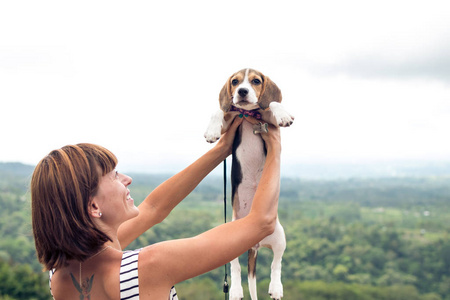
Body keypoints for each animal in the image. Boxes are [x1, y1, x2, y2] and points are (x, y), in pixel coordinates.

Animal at [206, 69, 294, 298]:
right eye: (235, 82)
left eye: (255, 81)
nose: (242, 91)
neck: (246, 114)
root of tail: (253, 244)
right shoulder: (229, 122)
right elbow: (218, 111)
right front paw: (211, 131)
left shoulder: (268, 121)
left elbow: (272, 103)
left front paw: (284, 114)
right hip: (228, 237)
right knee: (235, 267)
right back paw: (236, 290)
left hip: (280, 236)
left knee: (276, 264)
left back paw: (275, 287)